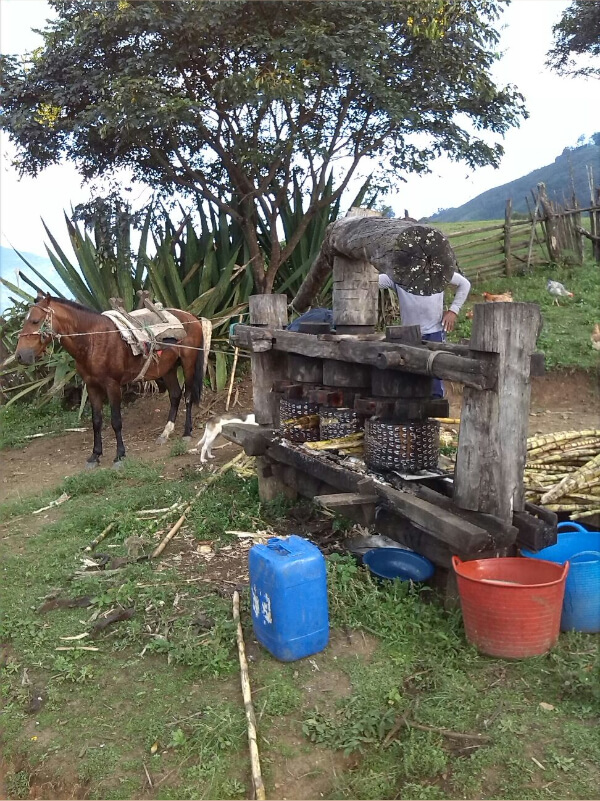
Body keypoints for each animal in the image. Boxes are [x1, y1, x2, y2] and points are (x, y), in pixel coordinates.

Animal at [15, 296, 213, 466]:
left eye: (35, 321)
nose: (19, 356)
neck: (93, 339)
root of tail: (192, 317)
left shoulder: (112, 385)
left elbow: (116, 421)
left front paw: (120, 455)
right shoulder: (92, 386)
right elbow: (96, 421)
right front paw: (95, 455)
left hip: (188, 363)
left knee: (188, 396)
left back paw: (187, 432)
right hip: (168, 368)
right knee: (175, 395)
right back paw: (165, 433)